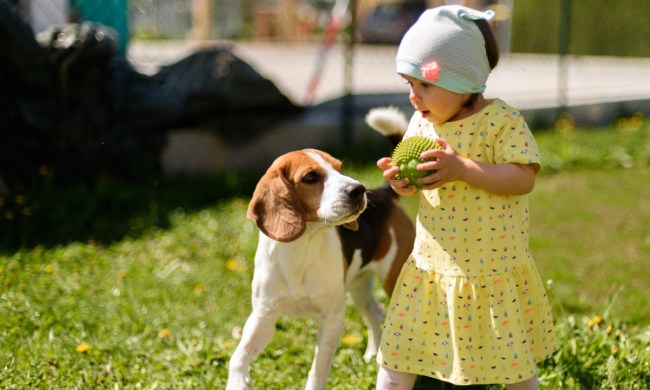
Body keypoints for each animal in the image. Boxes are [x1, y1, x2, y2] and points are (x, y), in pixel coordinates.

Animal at [225, 107, 412, 390]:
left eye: (340, 168)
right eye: (310, 177)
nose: (358, 189)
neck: (301, 247)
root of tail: (384, 193)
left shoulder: (331, 319)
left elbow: (318, 370)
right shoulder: (263, 316)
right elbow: (239, 355)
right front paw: (237, 380)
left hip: (393, 279)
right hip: (358, 285)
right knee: (375, 312)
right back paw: (372, 354)